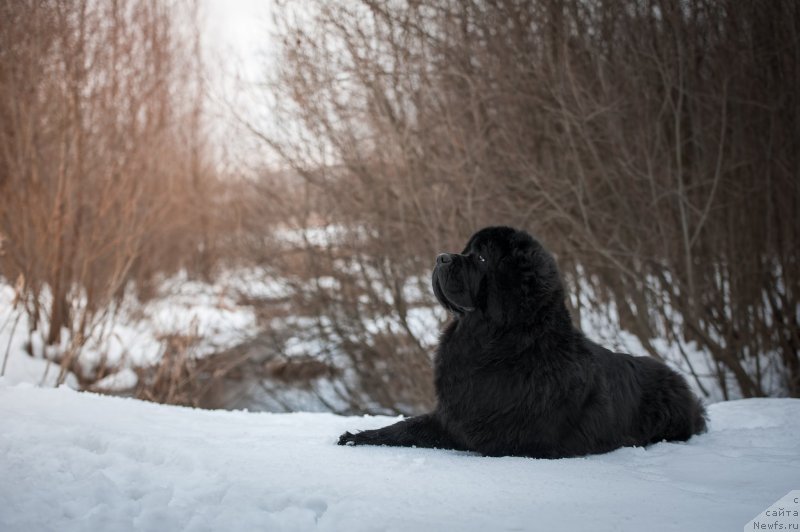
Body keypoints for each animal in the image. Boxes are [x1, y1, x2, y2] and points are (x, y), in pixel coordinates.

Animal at [338, 225, 708, 458]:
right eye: (464, 251)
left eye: (481, 258)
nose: (441, 256)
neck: (493, 344)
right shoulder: (451, 414)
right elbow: (404, 428)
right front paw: (356, 437)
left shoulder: (502, 436)